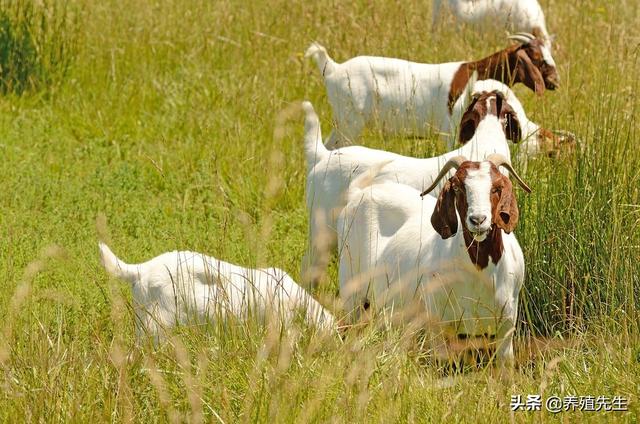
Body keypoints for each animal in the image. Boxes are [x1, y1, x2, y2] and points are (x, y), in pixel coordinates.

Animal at [304, 31, 556, 147]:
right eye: (536, 58)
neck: (474, 71)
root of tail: (333, 68)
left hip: (343, 122)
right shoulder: (450, 131)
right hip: (351, 121)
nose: (555, 81)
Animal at [338, 155, 532, 364]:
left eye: (497, 187)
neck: (479, 276)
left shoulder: (507, 324)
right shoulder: (437, 322)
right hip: (351, 290)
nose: (478, 220)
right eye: (457, 187)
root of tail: (359, 193)